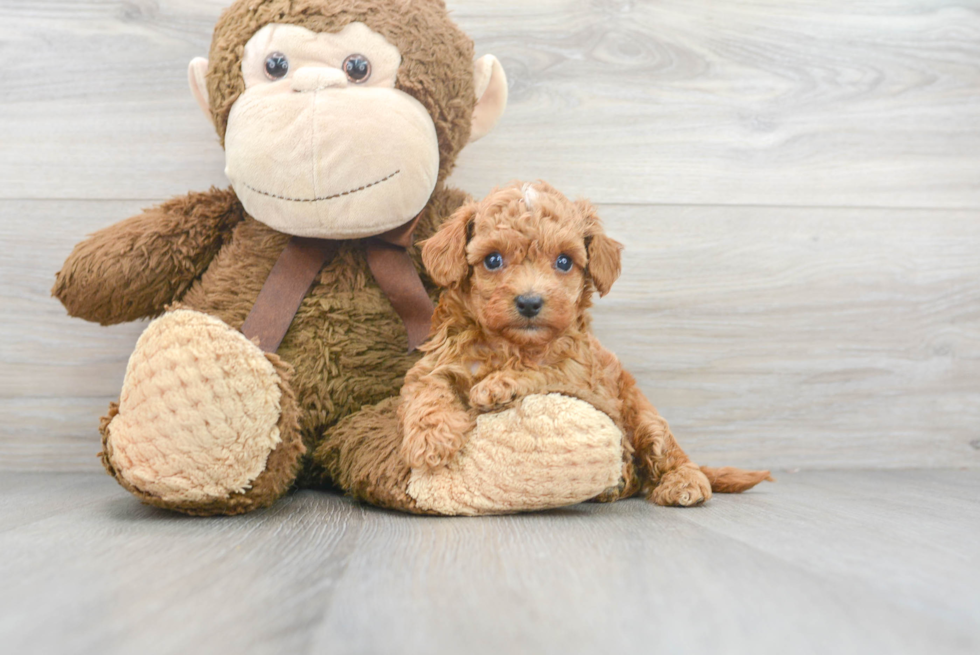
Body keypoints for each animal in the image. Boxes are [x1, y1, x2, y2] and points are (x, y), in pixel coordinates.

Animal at [398, 182, 772, 510]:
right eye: (492, 260)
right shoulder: (437, 360)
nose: (530, 302)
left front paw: (498, 385)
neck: (511, 345)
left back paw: (683, 483)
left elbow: (544, 369)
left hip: (644, 418)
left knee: (670, 453)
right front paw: (430, 441)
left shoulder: (581, 377)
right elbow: (427, 389)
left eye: (564, 261)